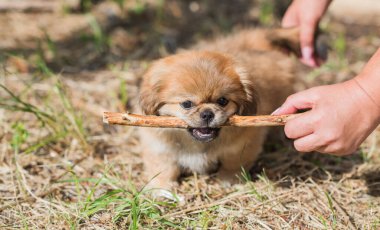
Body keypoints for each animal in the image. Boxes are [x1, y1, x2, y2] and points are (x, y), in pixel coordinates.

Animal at [138, 27, 302, 192]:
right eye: (187, 104)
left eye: (222, 101)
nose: (207, 114)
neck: (198, 145)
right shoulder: (159, 147)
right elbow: (163, 168)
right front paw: (161, 187)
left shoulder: (243, 146)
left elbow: (233, 164)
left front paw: (228, 179)